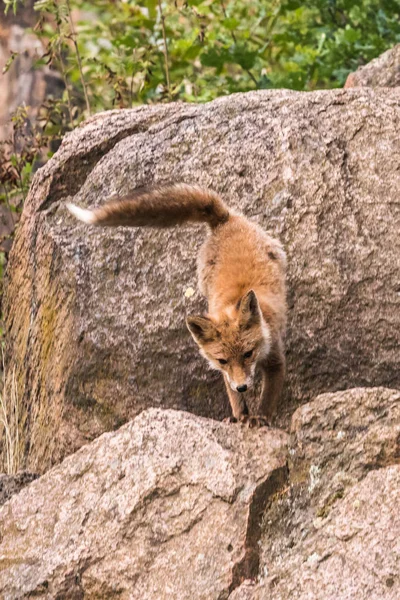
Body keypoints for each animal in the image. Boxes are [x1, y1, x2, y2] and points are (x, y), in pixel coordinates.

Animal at [67, 185, 286, 424]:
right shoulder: (225, 371)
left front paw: (260, 418)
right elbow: (233, 395)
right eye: (223, 360)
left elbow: (268, 396)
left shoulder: (275, 358)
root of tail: (224, 220)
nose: (243, 387)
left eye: (248, 354)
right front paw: (239, 417)